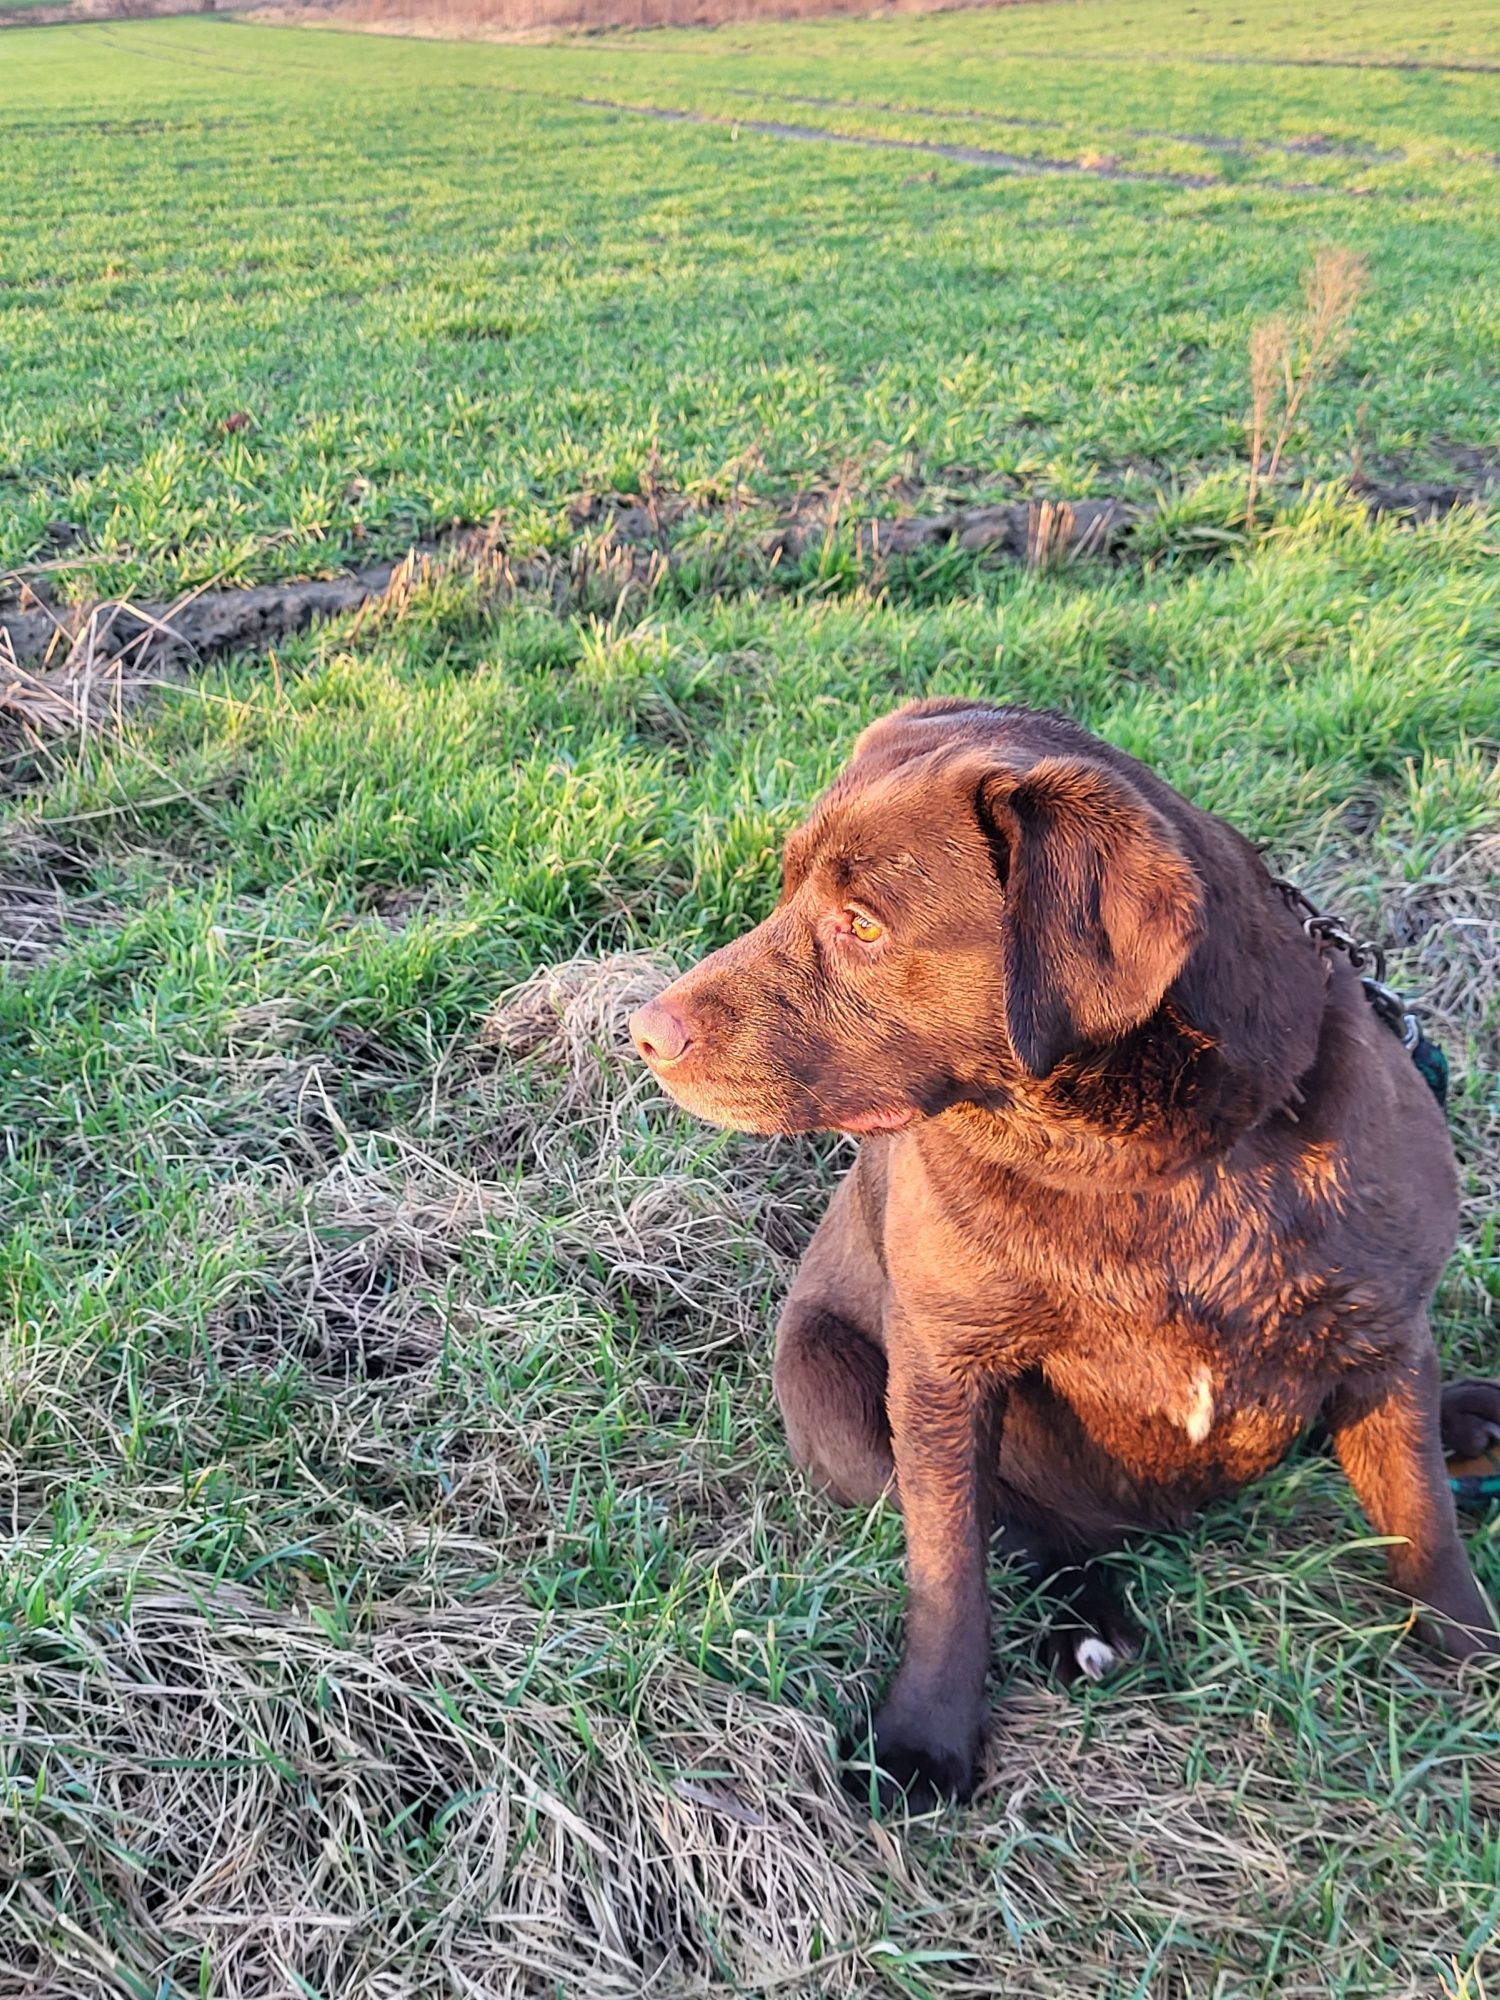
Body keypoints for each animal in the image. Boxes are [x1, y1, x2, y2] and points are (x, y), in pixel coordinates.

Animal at [628, 700, 1496, 1800]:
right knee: (1021, 1529)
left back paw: (1469, 1415)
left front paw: (1472, 1652)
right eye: (785, 887)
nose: (642, 1033)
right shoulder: (945, 1372)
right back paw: (1091, 1615)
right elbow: (951, 1566)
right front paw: (925, 1737)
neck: (1147, 1163)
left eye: (861, 924)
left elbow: (1423, 1517)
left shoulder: (1384, 1336)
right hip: (826, 1385)